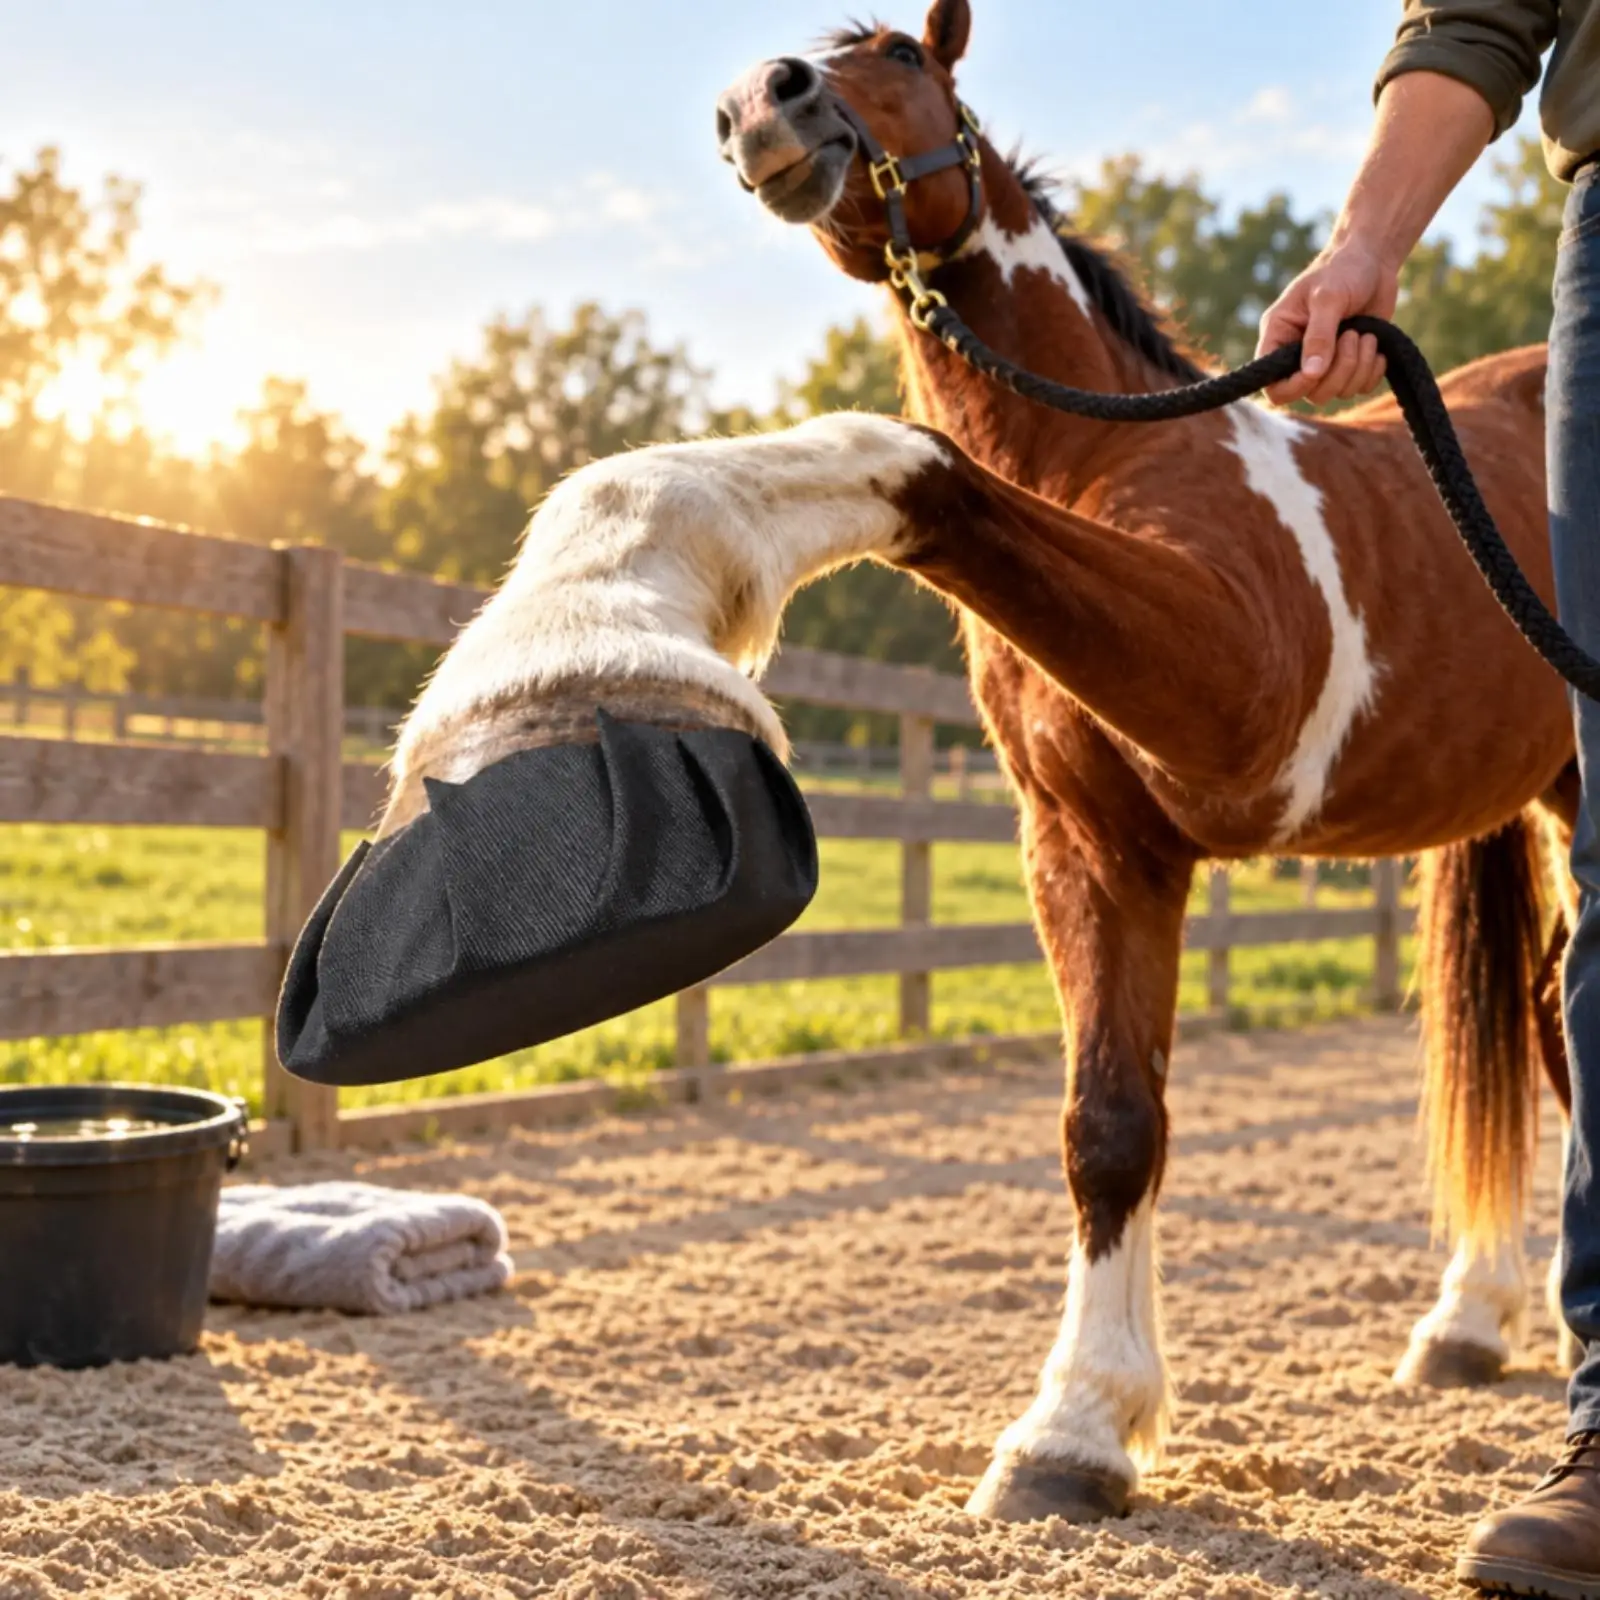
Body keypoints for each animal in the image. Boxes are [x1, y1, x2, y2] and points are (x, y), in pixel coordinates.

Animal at [376, 0, 1575, 1529]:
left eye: (898, 49)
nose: (762, 102)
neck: (1111, 462)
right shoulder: (1090, 845)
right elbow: (1109, 1127)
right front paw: (1075, 1433)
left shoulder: (1225, 710)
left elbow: (911, 462)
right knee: (1546, 1017)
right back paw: (1475, 1321)